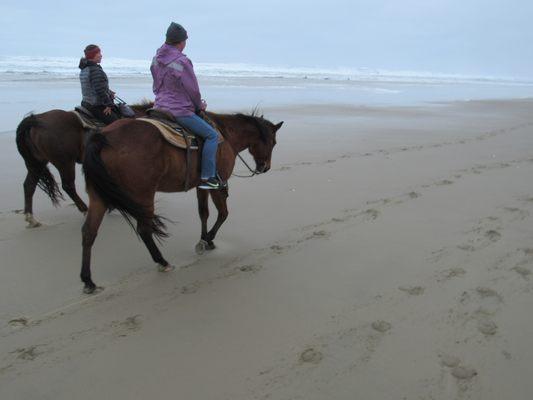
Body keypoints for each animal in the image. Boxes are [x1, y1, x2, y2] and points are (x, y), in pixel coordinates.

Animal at [15, 103, 152, 228]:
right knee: (68, 186)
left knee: (29, 185)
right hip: (65, 162)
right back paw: (85, 209)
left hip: (37, 163)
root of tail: (36, 119)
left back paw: (31, 219)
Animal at [82, 112, 282, 294]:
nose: (265, 167)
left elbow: (203, 212)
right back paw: (162, 262)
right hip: (143, 195)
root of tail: (103, 137)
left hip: (98, 197)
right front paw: (208, 239)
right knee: (144, 230)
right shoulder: (218, 184)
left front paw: (204, 240)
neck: (226, 135)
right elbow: (223, 213)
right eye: (273, 142)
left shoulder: (201, 185)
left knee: (89, 232)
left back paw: (88, 281)